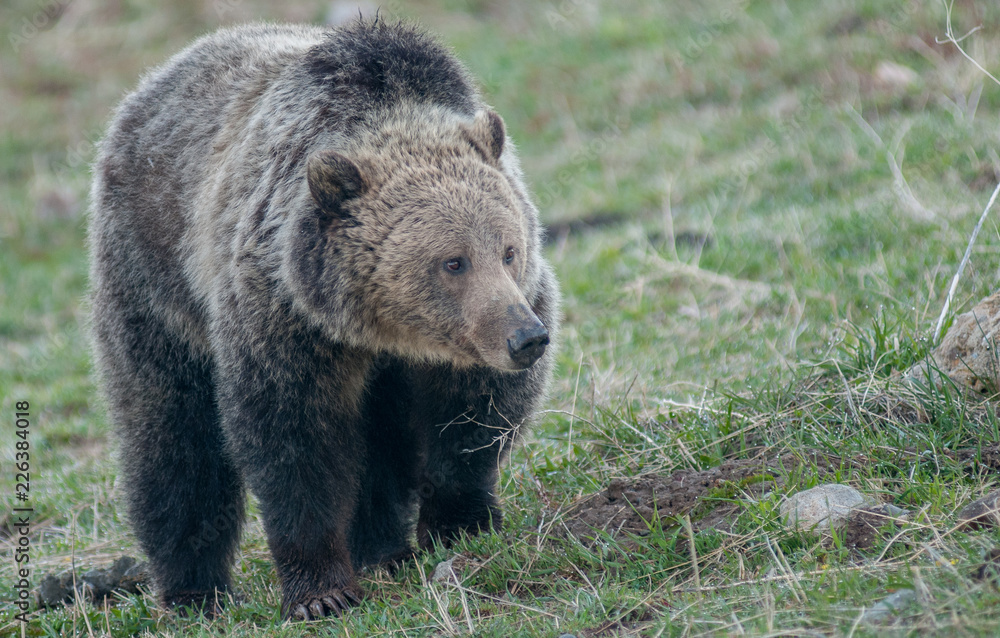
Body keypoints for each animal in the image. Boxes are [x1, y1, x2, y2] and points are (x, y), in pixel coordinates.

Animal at [89, 21, 560, 624]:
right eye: (453, 261)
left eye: (508, 249)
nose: (526, 338)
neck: (380, 327)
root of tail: (146, 89)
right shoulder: (286, 318)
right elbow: (294, 440)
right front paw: (321, 591)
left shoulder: (471, 338)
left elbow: (471, 420)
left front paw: (462, 527)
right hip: (155, 284)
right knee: (172, 434)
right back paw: (194, 591)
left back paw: (383, 547)